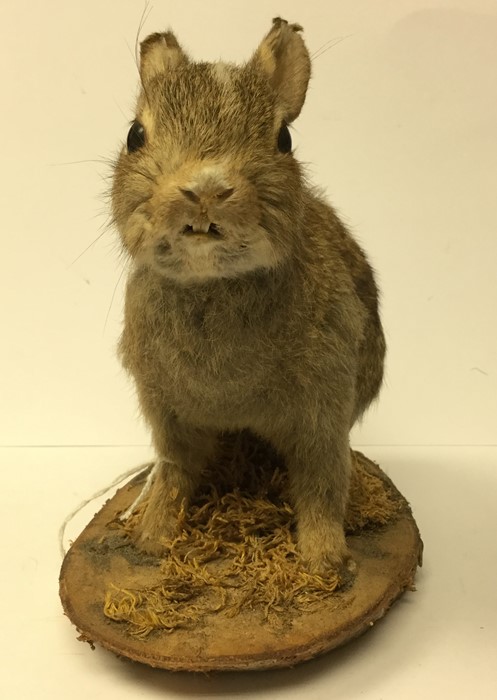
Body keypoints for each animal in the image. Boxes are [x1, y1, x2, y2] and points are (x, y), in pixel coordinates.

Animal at [111, 19, 384, 576]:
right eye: (134, 135)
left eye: (284, 140)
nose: (205, 190)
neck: (212, 282)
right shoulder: (166, 414)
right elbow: (174, 474)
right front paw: (152, 539)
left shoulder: (323, 415)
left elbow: (323, 487)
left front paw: (324, 561)